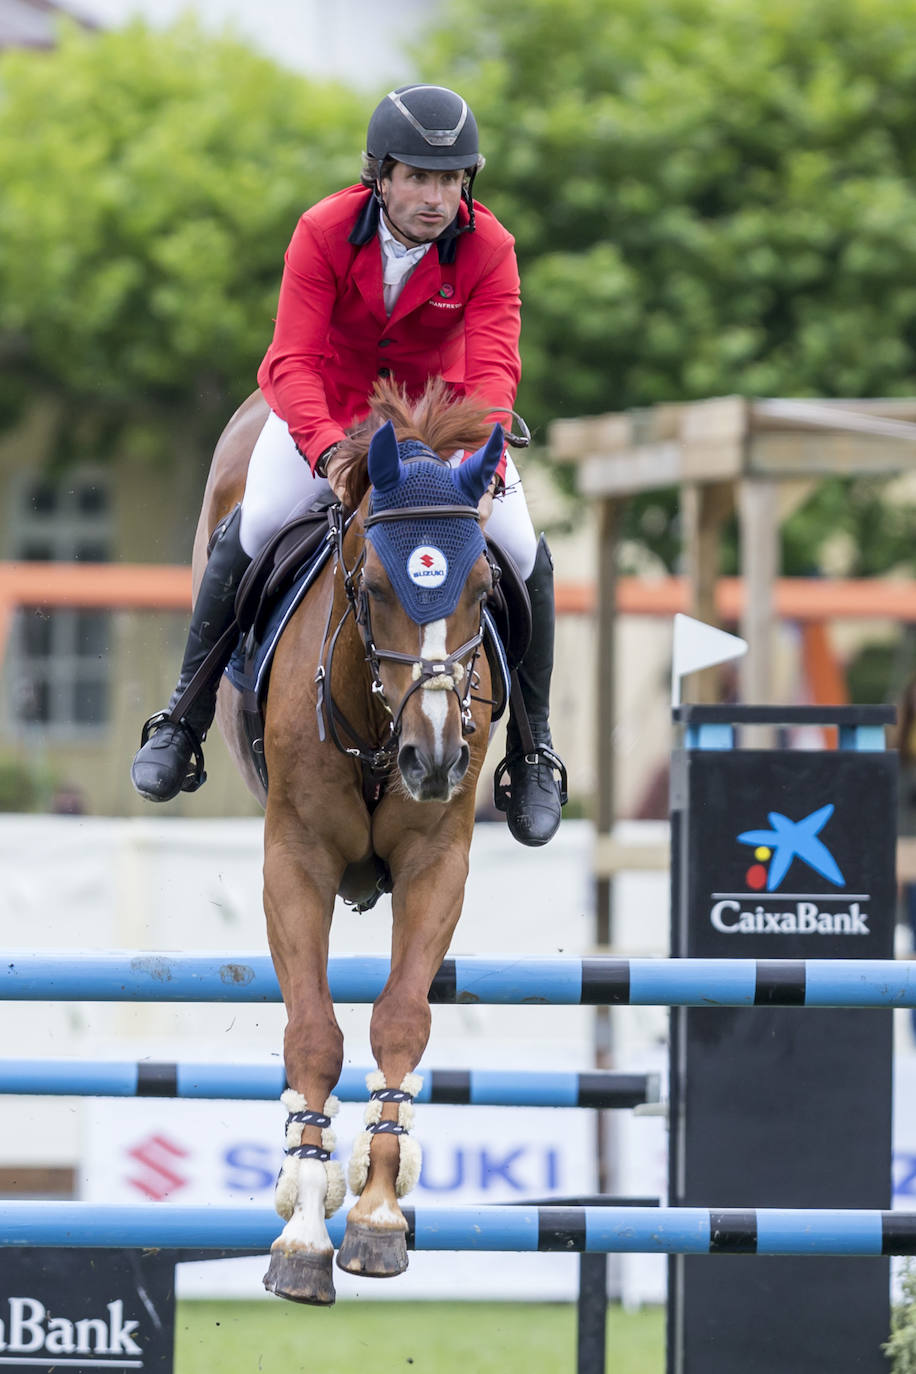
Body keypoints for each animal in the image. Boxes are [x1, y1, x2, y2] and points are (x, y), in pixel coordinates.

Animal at [195, 381, 505, 1302]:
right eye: (371, 585)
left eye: (484, 586)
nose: (435, 760)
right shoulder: (295, 860)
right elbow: (313, 1034)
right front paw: (301, 1229)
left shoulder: (438, 861)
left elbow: (401, 1018)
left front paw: (376, 1213)